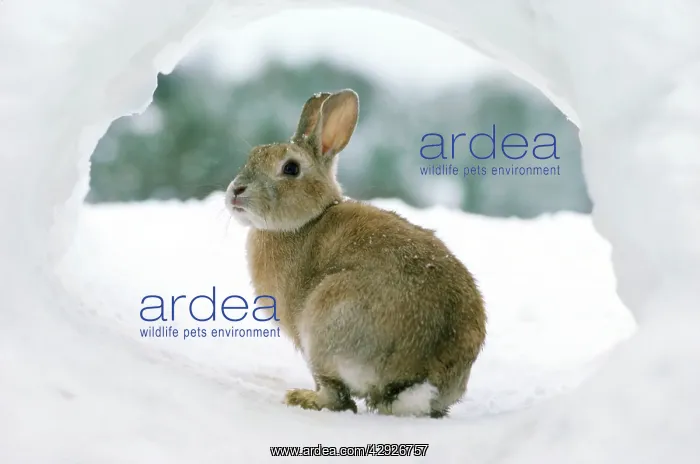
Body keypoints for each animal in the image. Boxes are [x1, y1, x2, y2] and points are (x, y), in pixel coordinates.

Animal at [225, 89, 487, 418]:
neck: (307, 221)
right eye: (253, 155)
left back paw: (302, 398)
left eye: (291, 168)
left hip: (325, 325)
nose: (236, 191)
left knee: (339, 398)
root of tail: (419, 378)